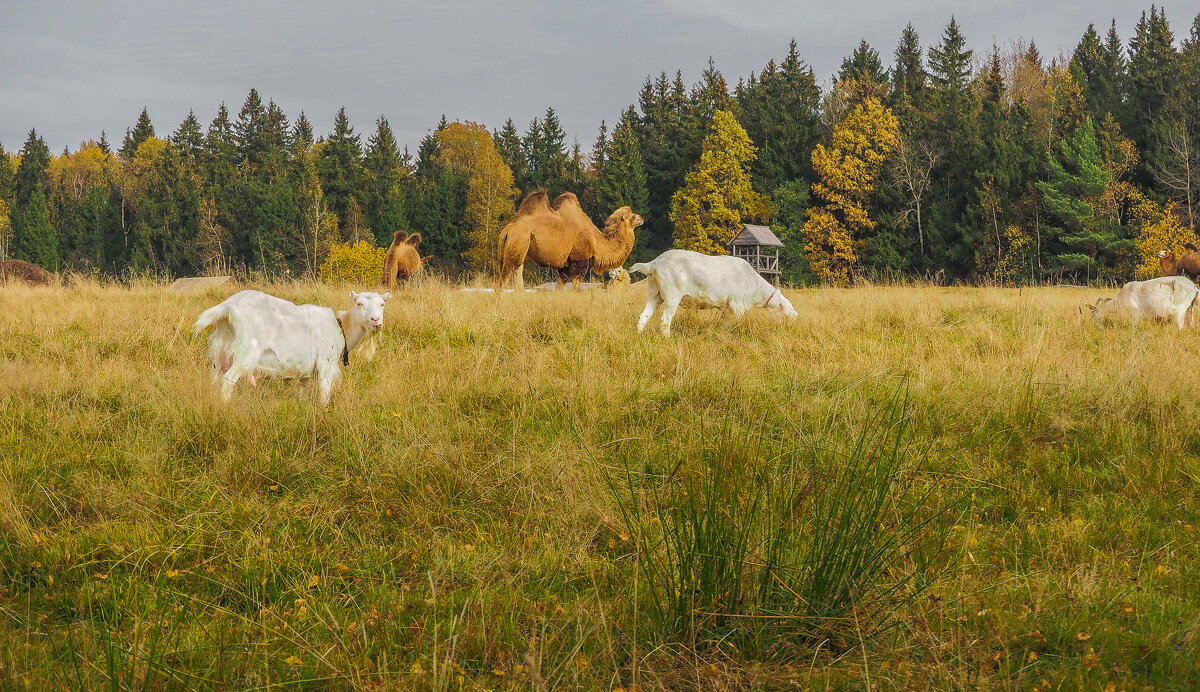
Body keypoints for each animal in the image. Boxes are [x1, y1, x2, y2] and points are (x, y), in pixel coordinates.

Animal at [192, 287, 388, 405]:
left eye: (382, 304)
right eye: (359, 303)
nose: (376, 320)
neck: (341, 328)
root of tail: (228, 306)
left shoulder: (303, 375)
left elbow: (302, 395)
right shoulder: (325, 363)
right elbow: (324, 392)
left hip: (220, 354)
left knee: (214, 380)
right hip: (246, 352)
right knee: (228, 380)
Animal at [496, 187, 648, 290]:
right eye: (632, 217)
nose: (642, 218)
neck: (596, 241)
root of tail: (507, 231)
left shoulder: (563, 266)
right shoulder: (579, 261)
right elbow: (575, 288)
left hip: (519, 249)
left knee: (518, 272)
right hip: (517, 243)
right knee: (502, 281)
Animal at [628, 249, 796, 335]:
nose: (789, 328)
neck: (755, 285)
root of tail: (653, 264)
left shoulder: (727, 308)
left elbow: (724, 324)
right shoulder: (737, 304)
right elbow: (735, 323)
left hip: (654, 293)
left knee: (644, 316)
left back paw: (639, 335)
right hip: (672, 294)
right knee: (665, 321)